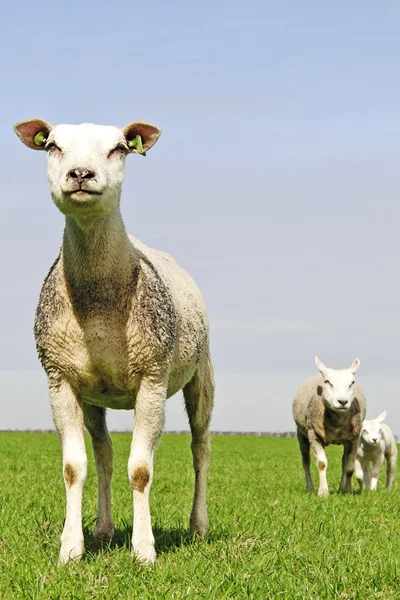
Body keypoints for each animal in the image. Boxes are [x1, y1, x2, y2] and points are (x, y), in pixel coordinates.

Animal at [12, 118, 214, 568]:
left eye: (119, 148)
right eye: (52, 146)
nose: (81, 174)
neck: (99, 306)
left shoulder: (152, 380)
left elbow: (140, 470)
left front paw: (144, 550)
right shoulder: (60, 380)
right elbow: (75, 467)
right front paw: (71, 549)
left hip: (202, 376)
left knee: (200, 447)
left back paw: (198, 525)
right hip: (94, 396)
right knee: (103, 454)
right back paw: (103, 529)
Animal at [292, 356, 368, 496]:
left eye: (352, 383)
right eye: (327, 382)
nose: (343, 401)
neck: (336, 422)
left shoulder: (354, 438)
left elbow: (349, 467)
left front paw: (347, 491)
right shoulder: (313, 434)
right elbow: (322, 464)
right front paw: (323, 492)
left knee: (344, 462)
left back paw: (341, 488)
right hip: (302, 434)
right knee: (306, 461)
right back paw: (310, 488)